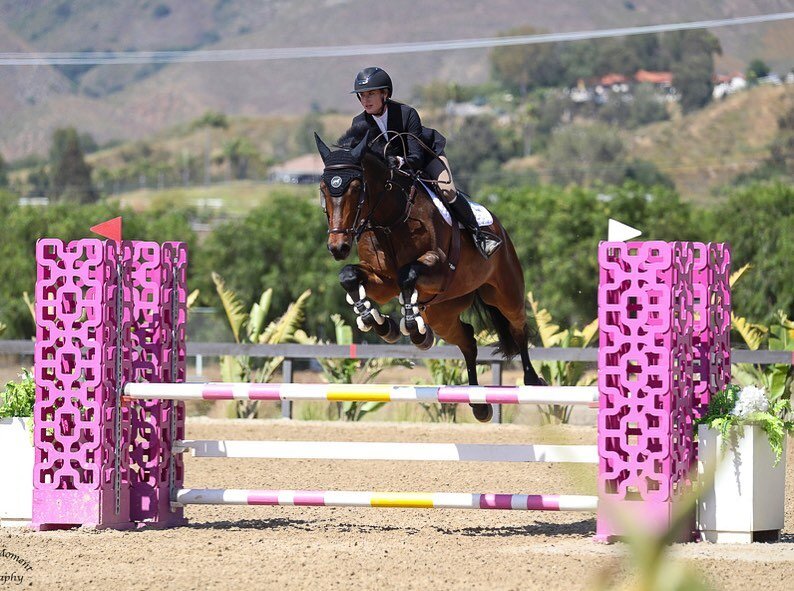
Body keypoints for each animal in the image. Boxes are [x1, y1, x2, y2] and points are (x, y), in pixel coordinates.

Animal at [316, 125, 544, 420]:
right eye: (323, 188)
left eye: (356, 188)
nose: (338, 247)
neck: (390, 219)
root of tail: (501, 230)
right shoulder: (383, 281)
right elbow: (349, 276)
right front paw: (380, 323)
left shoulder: (437, 269)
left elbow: (408, 275)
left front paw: (411, 327)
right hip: (442, 314)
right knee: (468, 340)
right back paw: (478, 403)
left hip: (505, 292)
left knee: (518, 326)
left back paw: (532, 380)